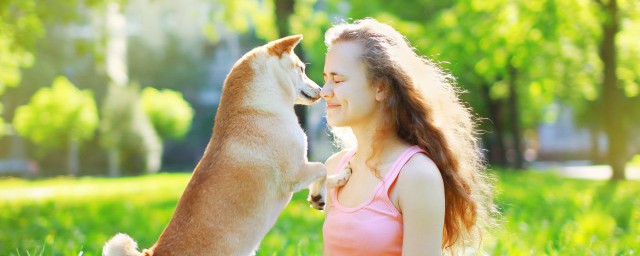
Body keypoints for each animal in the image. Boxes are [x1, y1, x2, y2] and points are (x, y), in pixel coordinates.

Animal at [101, 35, 350, 256]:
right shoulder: (295, 172)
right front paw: (320, 193)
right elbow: (321, 168)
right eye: (301, 69)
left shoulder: (300, 169)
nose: (321, 90)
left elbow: (327, 175)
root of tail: (152, 252)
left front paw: (334, 184)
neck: (256, 107)